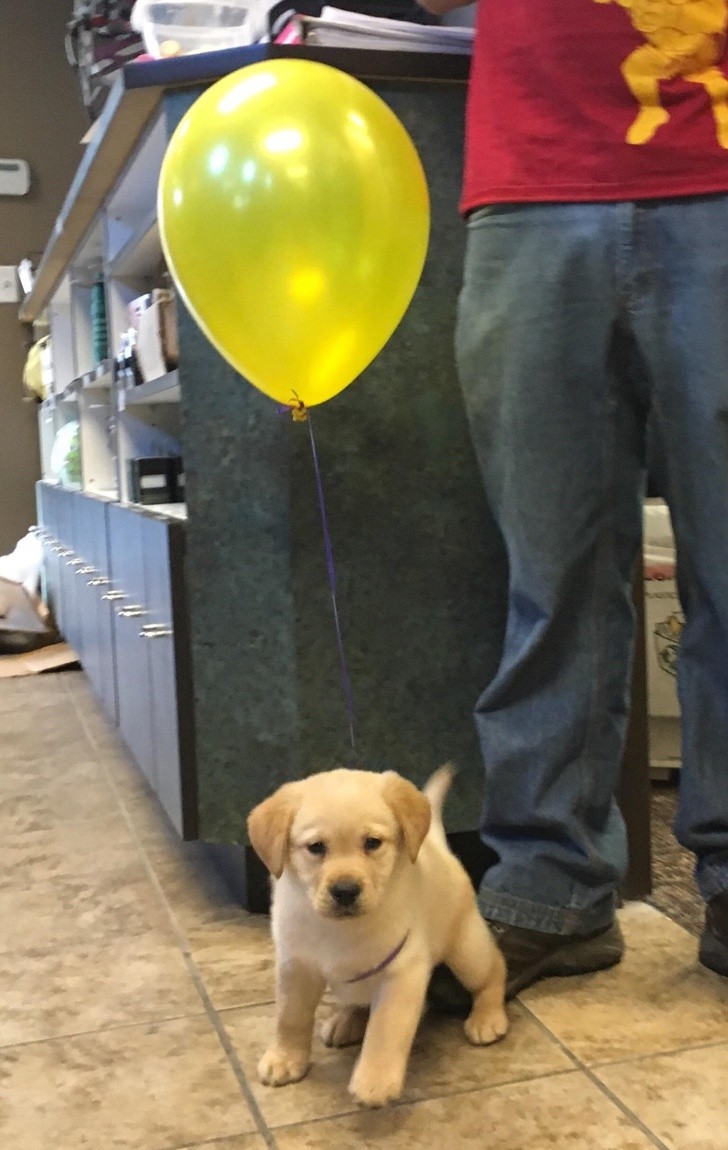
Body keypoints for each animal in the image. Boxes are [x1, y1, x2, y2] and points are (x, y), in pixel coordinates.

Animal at [243, 768, 506, 1108]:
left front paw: (375, 1081)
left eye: (372, 843)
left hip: (466, 950)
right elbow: (289, 1017)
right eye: (316, 847)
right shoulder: (295, 966)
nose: (345, 891)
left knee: (494, 971)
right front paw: (285, 1059)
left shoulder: (401, 972)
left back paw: (488, 1018)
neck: (339, 929)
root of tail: (437, 846)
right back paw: (345, 1021)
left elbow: (385, 1029)